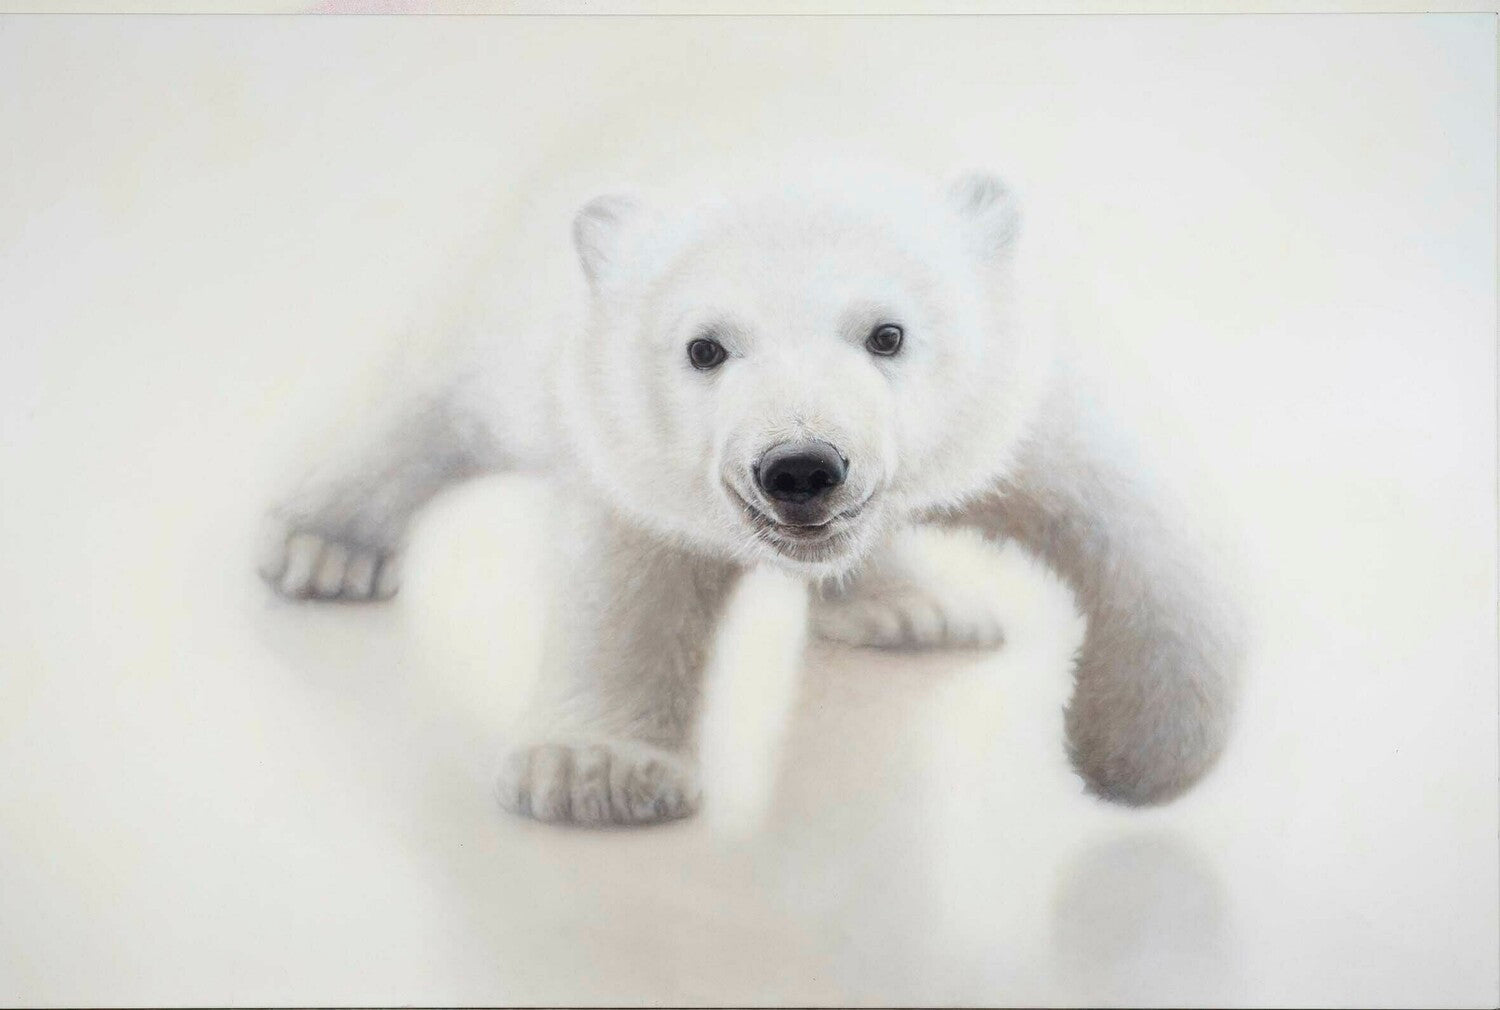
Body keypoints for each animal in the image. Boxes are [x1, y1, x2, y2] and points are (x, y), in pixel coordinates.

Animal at [259, 166, 1240, 825]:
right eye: (705, 347)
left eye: (887, 333)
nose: (802, 467)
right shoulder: (623, 433)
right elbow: (627, 580)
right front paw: (594, 772)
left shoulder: (1007, 405)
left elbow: (1138, 526)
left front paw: (1133, 752)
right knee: (449, 392)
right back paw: (325, 544)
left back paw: (908, 608)